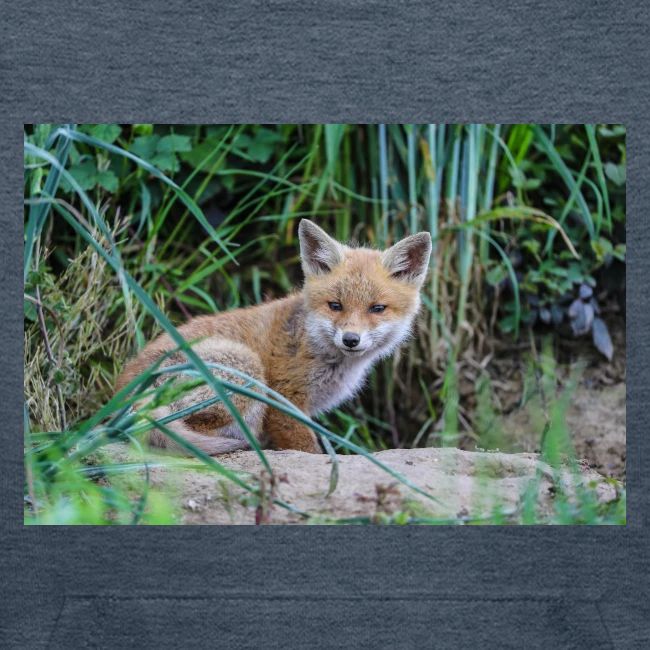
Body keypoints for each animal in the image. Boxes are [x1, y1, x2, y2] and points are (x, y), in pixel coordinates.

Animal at [116, 219, 432, 455]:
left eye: (377, 309)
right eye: (335, 305)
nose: (351, 339)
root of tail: (124, 394)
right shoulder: (284, 400)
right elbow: (307, 449)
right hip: (246, 369)